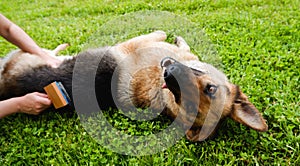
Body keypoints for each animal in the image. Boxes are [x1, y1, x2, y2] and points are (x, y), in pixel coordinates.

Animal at [0, 30, 268, 141]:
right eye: (210, 88)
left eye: (188, 104)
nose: (168, 71)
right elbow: (173, 40)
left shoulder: (131, 45)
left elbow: (160, 34)